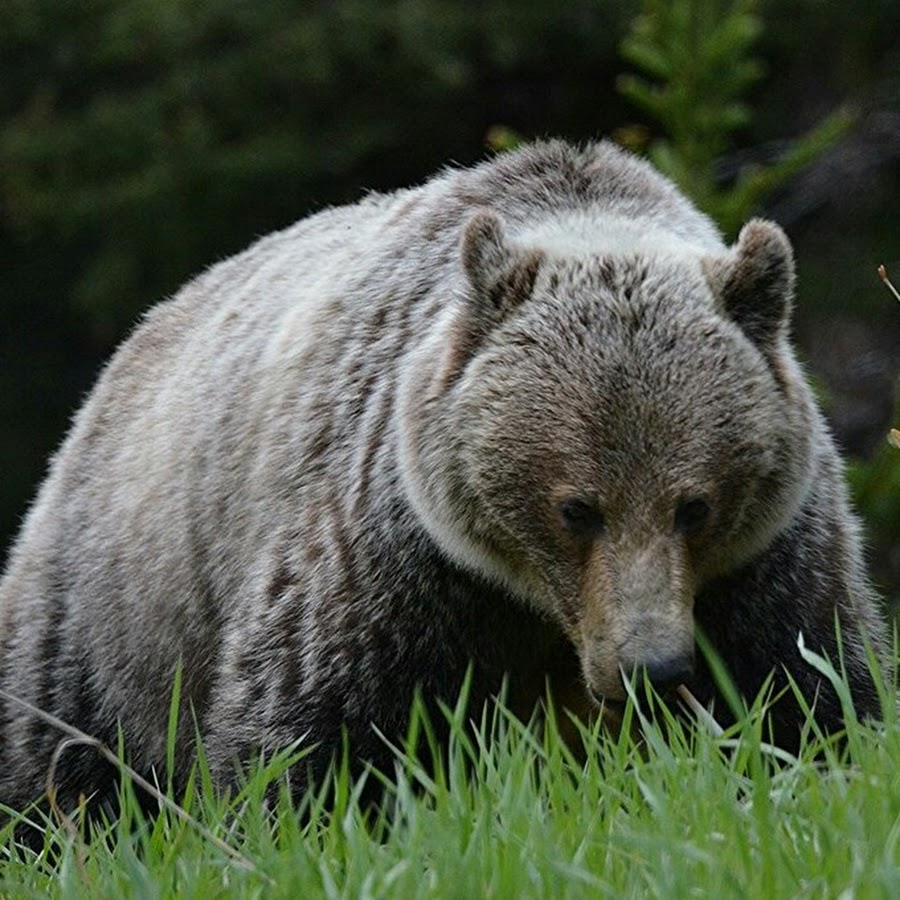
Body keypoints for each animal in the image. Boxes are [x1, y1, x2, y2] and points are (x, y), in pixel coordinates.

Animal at [0, 139, 884, 808]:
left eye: (694, 505)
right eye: (577, 507)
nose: (650, 668)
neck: (538, 610)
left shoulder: (766, 559)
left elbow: (807, 688)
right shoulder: (397, 559)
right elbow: (314, 726)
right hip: (114, 609)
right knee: (58, 756)